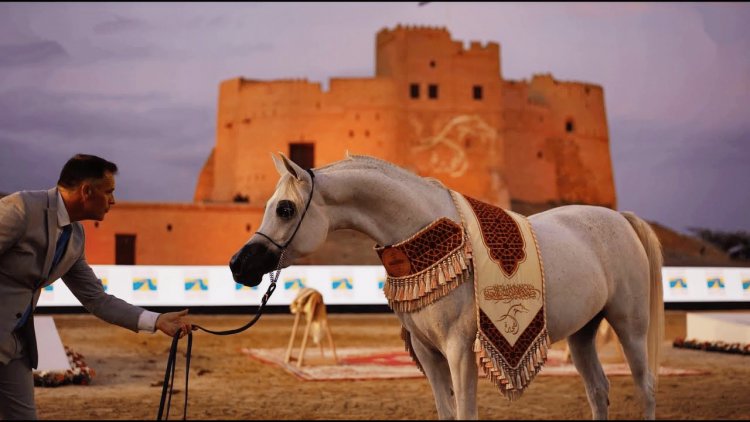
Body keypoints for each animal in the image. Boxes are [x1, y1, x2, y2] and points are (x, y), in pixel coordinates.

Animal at [229, 153, 664, 420]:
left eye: (285, 209)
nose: (238, 265)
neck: (431, 236)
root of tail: (622, 219)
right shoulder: (428, 352)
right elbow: (446, 412)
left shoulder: (459, 349)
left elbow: (465, 413)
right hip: (583, 333)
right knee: (599, 391)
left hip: (630, 327)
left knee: (645, 388)